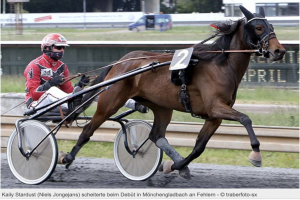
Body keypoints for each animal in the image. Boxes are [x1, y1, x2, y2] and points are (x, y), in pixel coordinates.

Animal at [61, 5, 286, 178]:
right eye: (259, 27)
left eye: (272, 26)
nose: (279, 51)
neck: (221, 65)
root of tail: (121, 62)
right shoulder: (216, 107)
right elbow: (246, 118)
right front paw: (256, 154)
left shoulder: (214, 116)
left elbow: (199, 147)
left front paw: (175, 166)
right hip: (110, 101)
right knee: (88, 130)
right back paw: (68, 157)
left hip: (161, 106)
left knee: (156, 135)